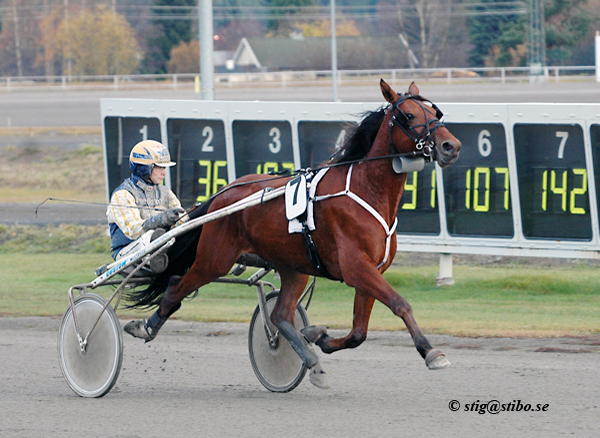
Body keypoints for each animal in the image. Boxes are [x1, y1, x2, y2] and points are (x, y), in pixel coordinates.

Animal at [122, 80, 460, 388]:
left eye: (435, 112)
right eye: (408, 115)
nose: (451, 146)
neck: (367, 191)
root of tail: (221, 195)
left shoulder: (371, 269)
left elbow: (358, 333)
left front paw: (319, 336)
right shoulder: (356, 267)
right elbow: (400, 304)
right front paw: (431, 352)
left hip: (293, 265)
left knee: (280, 315)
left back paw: (312, 360)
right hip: (215, 258)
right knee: (176, 286)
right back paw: (145, 326)